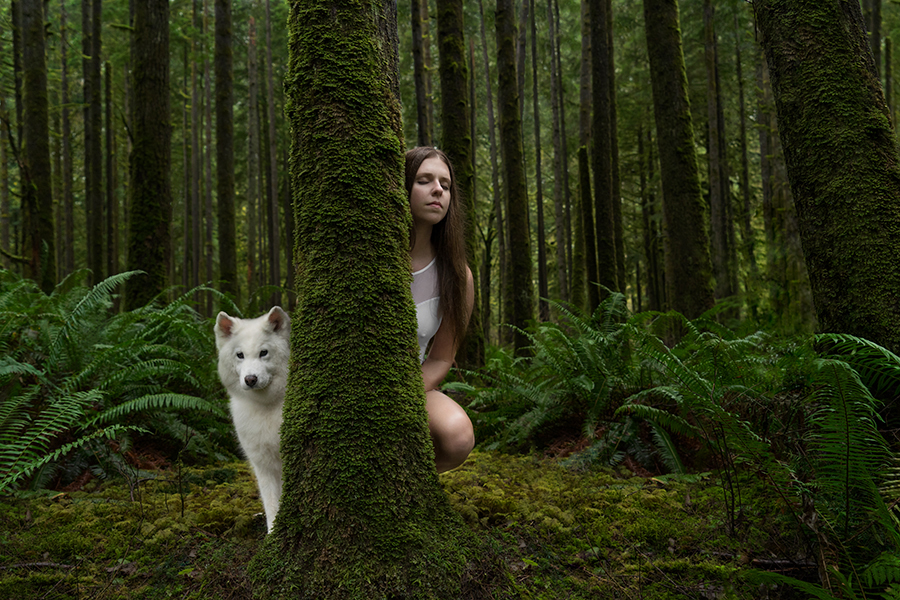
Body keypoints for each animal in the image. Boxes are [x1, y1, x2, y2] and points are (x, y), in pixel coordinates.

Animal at [214, 306, 290, 533]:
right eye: (240, 355)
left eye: (263, 353)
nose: (250, 379)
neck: (267, 406)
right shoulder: (262, 463)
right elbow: (271, 501)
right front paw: (272, 534)